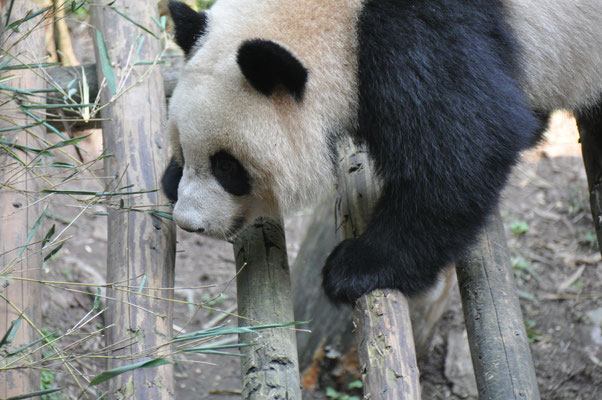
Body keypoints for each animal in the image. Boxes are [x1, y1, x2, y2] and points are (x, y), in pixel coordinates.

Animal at [162, 0, 596, 302]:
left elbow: (469, 145)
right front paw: (169, 178)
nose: (188, 223)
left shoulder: (420, 32)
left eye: (227, 166)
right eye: (183, 147)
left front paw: (357, 267)